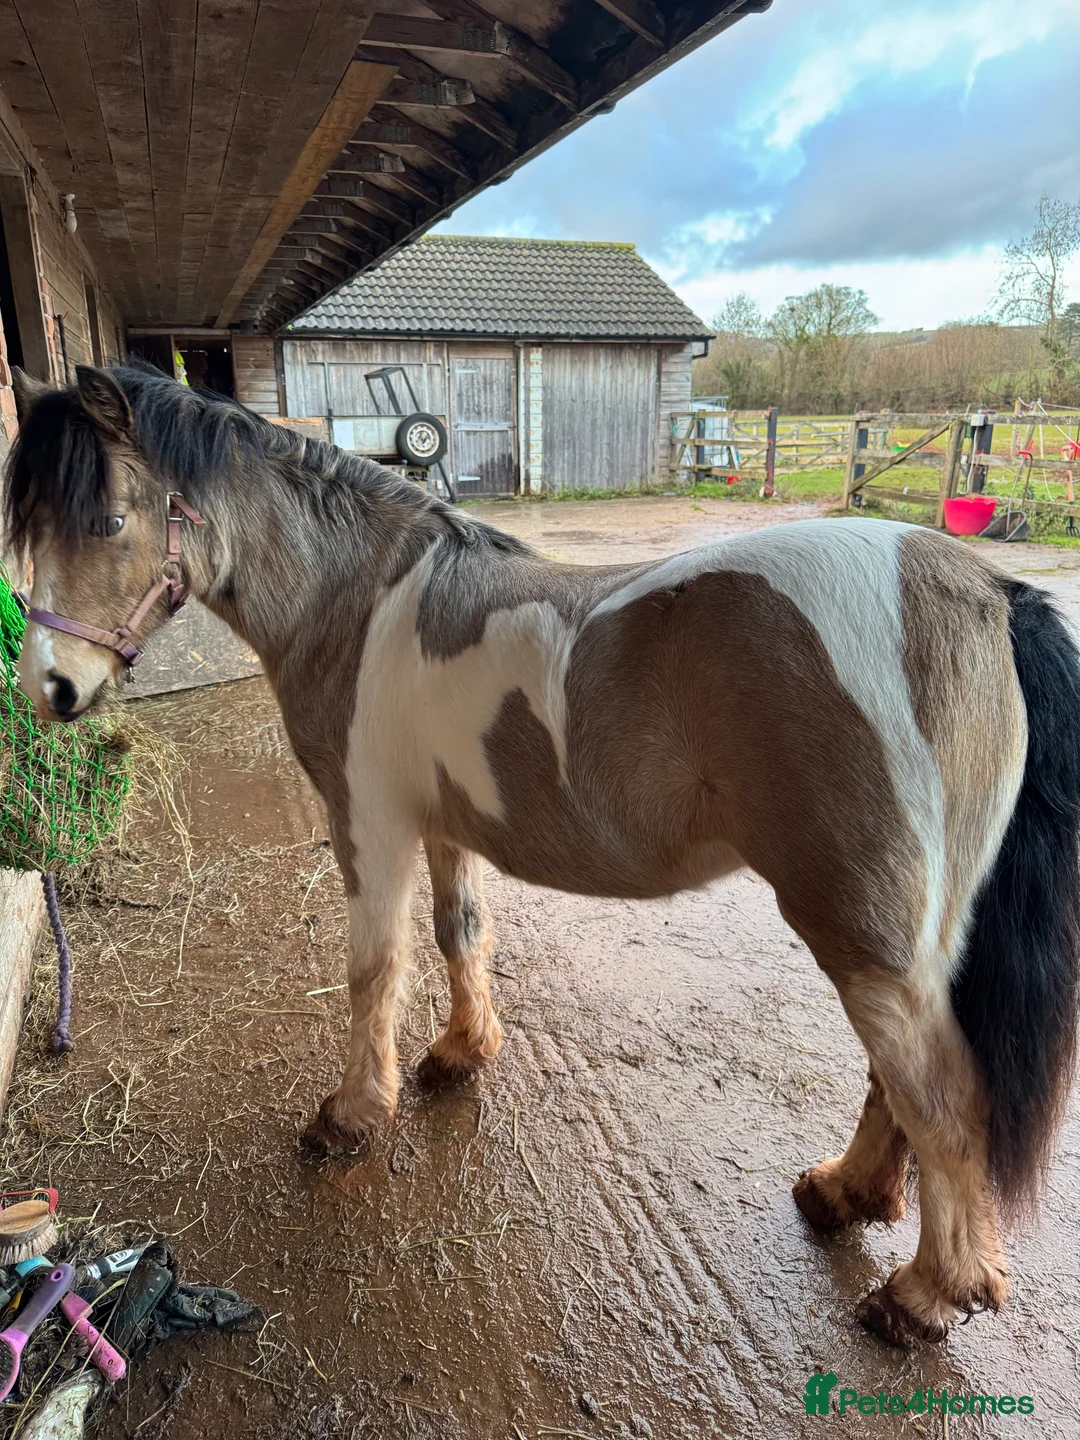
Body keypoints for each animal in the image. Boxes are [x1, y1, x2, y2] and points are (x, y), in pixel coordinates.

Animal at [5, 363, 1080, 1349]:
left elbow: (373, 971)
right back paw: (847, 1194)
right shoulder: (440, 825)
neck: (359, 598)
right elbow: (459, 934)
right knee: (895, 1086)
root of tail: (991, 594)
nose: (50, 690)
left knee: (940, 1100)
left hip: (861, 935)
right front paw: (459, 1053)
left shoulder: (370, 823)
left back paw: (924, 1296)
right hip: (902, 941)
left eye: (107, 519)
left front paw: (352, 1115)